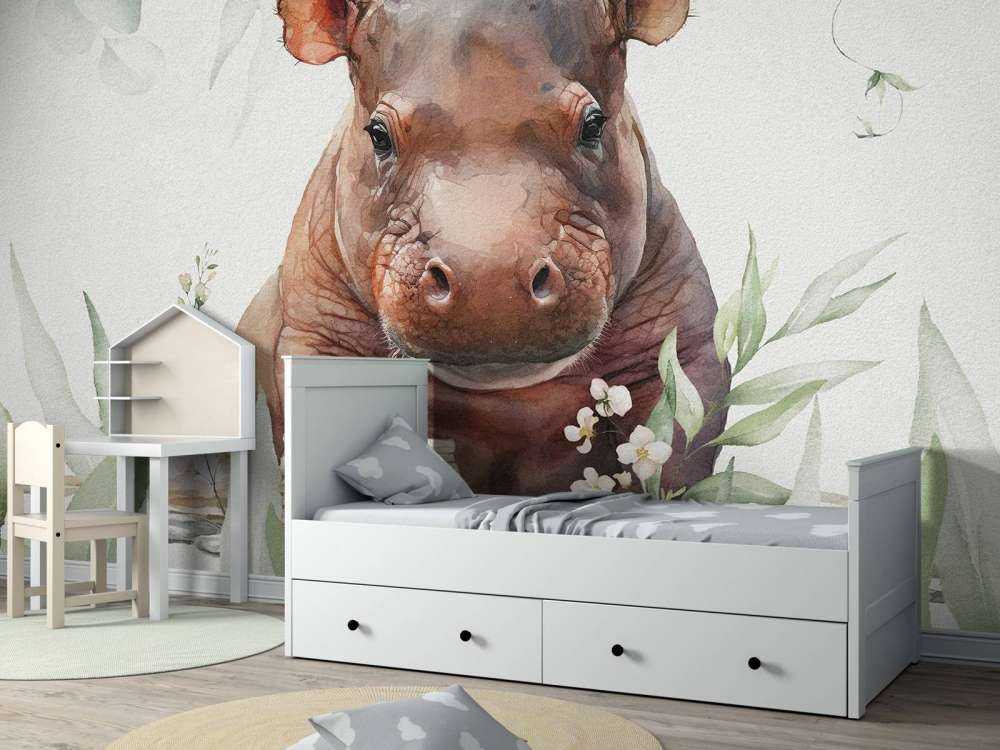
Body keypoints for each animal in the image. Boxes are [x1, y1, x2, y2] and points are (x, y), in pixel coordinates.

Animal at [238, 0, 731, 494]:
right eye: (377, 134)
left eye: (593, 125)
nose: (490, 285)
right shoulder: (317, 337)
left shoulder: (682, 347)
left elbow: (675, 458)